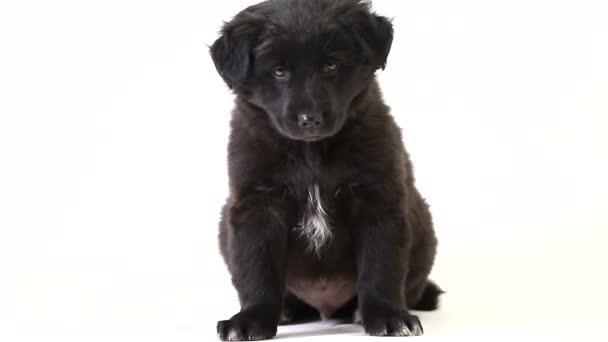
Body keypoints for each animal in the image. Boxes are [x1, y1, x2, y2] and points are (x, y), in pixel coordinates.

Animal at [211, 0, 440, 340]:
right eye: (279, 71)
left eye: (331, 66)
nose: (310, 119)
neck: (311, 156)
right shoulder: (256, 206)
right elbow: (255, 268)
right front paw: (250, 320)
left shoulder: (379, 200)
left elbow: (381, 264)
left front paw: (387, 316)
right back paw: (286, 309)